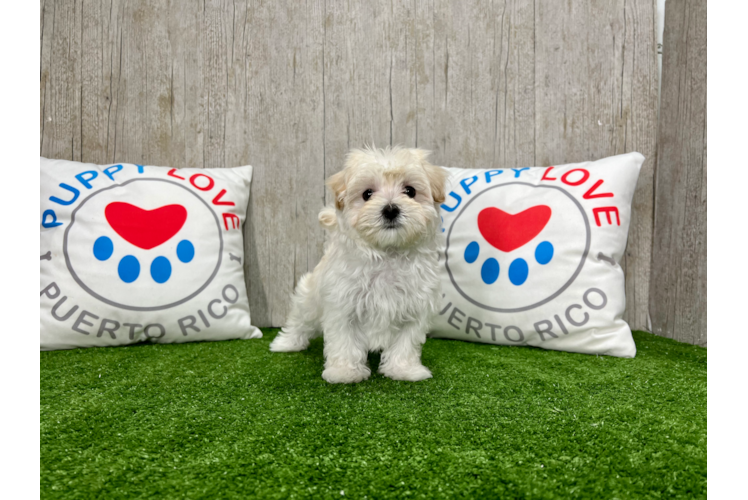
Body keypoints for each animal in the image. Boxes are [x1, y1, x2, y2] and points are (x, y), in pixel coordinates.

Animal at [268, 145, 448, 382]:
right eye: (367, 194)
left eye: (410, 191)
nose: (390, 209)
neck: (387, 254)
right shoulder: (342, 304)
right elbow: (344, 342)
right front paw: (344, 372)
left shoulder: (415, 307)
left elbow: (405, 343)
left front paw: (404, 370)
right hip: (309, 297)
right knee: (300, 320)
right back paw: (286, 343)